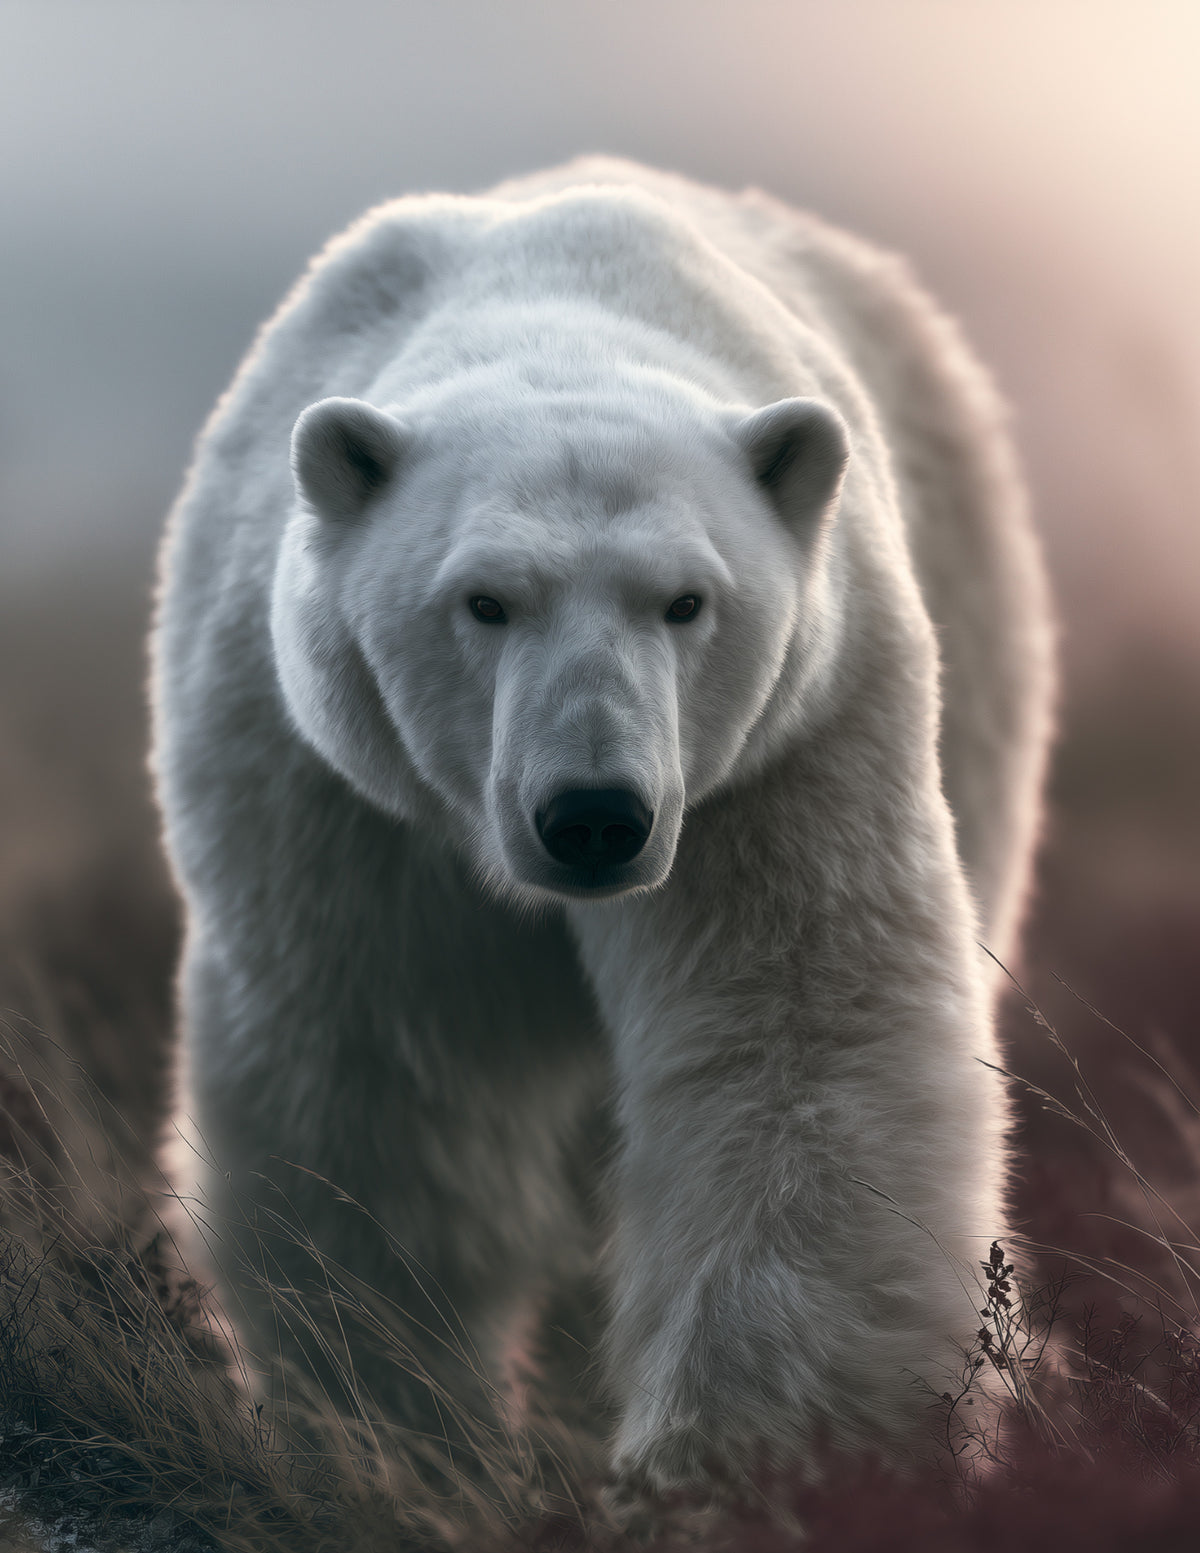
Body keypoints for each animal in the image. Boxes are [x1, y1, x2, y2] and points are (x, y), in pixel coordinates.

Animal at [151, 156, 1054, 1493]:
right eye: (484, 600)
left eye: (686, 600)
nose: (593, 815)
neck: (559, 307)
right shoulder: (329, 784)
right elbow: (374, 1071)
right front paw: (392, 1420)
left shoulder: (781, 753)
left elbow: (796, 1043)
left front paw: (748, 1460)